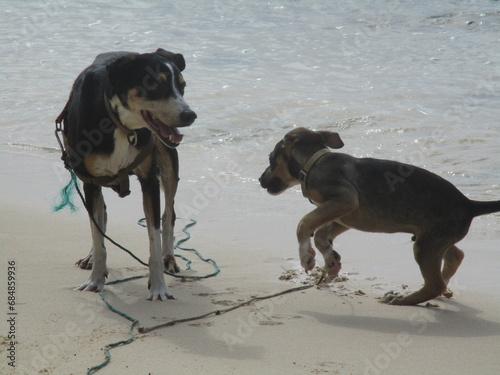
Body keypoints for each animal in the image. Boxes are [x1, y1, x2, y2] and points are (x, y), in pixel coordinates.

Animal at [59, 49, 197, 302]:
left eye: (182, 86)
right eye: (154, 84)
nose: (190, 115)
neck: (121, 124)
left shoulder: (149, 180)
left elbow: (153, 238)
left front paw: (159, 287)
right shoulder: (89, 181)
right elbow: (97, 234)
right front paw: (95, 281)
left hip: (169, 161)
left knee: (169, 213)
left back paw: (169, 258)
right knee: (100, 215)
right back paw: (91, 258)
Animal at [260, 129, 500, 306]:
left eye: (271, 158)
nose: (260, 180)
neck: (314, 163)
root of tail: (469, 204)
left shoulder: (346, 200)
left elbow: (304, 223)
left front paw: (306, 257)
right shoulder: (345, 215)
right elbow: (320, 234)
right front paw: (330, 260)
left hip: (426, 245)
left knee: (435, 284)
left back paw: (403, 299)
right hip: (432, 238)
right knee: (455, 256)